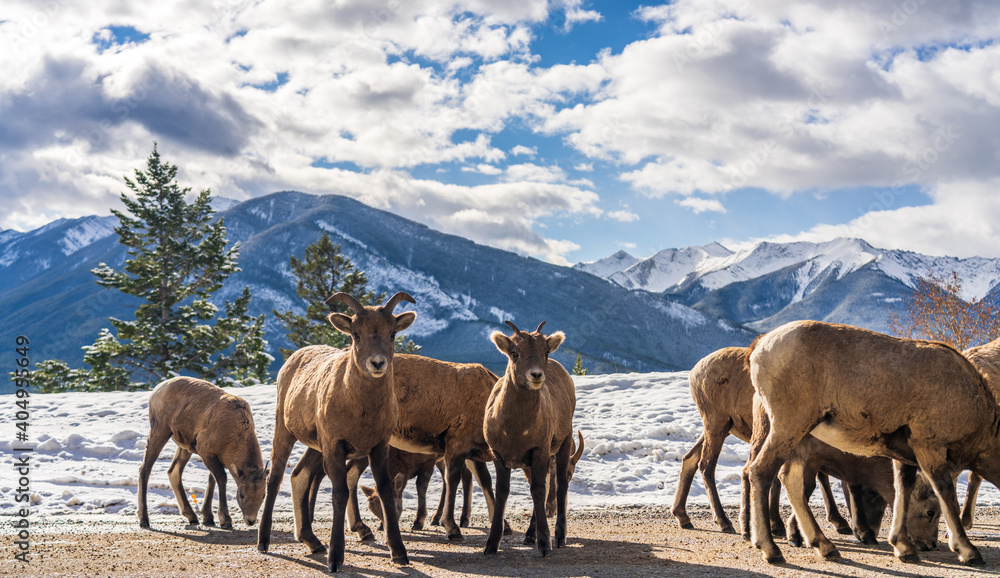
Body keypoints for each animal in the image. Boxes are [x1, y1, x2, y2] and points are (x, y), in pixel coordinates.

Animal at [137, 376, 267, 529]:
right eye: (241, 495)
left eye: (263, 495)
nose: (250, 520)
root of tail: (155, 392)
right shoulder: (206, 452)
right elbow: (221, 479)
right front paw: (225, 520)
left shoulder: (215, 457)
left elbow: (212, 480)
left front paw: (208, 518)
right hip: (160, 429)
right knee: (145, 468)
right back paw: (144, 520)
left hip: (185, 446)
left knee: (173, 471)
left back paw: (192, 516)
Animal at [255, 292, 416, 573]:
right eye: (356, 334)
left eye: (393, 333)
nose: (377, 363)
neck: (362, 410)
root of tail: (293, 360)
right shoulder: (335, 446)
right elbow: (340, 493)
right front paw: (335, 559)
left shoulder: (378, 446)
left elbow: (385, 491)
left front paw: (399, 553)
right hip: (285, 432)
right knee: (275, 478)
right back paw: (264, 543)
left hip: (316, 446)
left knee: (299, 475)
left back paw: (312, 542)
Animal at [483, 321, 576, 557]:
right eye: (514, 353)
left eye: (545, 352)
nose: (536, 375)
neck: (516, 429)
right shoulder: (498, 455)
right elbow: (502, 493)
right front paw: (491, 545)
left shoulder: (539, 450)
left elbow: (539, 491)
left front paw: (544, 545)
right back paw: (529, 536)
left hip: (564, 442)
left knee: (560, 485)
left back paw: (559, 538)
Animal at [745, 320, 998, 565]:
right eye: (929, 513)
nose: (931, 545)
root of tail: (759, 347)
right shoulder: (929, 447)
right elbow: (945, 490)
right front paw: (968, 552)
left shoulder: (905, 457)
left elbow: (902, 489)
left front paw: (904, 549)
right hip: (788, 426)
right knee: (761, 471)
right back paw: (771, 550)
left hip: (798, 438)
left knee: (790, 480)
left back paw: (825, 546)